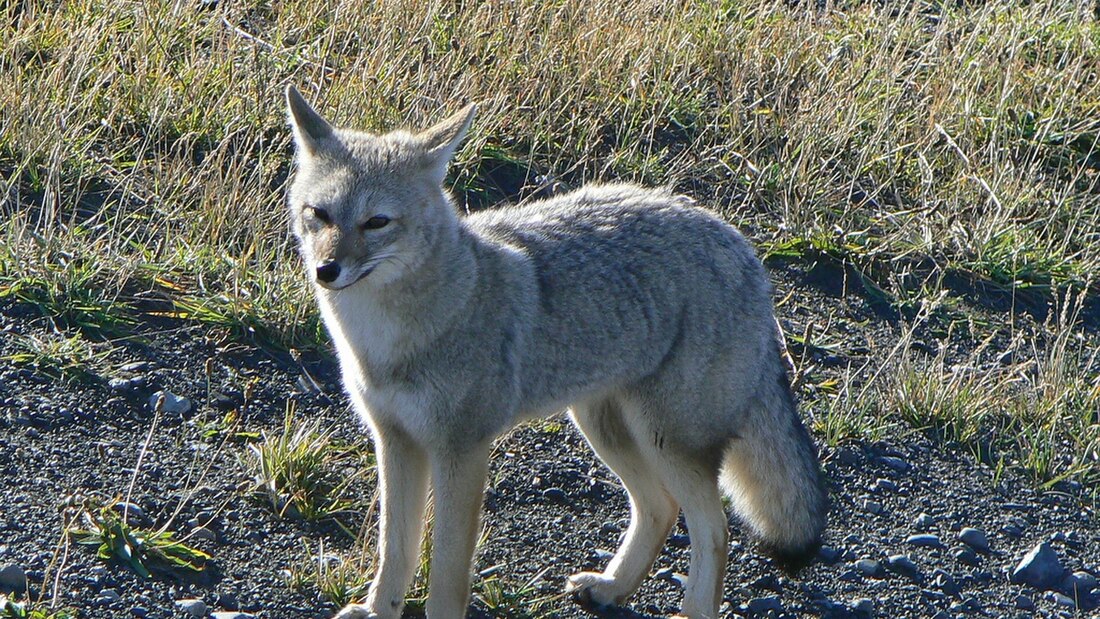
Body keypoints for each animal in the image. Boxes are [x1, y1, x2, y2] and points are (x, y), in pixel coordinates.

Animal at [283, 85, 827, 619]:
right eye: (320, 214)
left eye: (376, 222)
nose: (326, 270)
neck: (386, 340)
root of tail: (739, 242)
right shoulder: (395, 439)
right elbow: (395, 547)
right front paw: (379, 610)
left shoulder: (462, 450)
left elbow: (446, 573)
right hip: (605, 428)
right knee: (661, 508)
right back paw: (612, 587)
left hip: (665, 439)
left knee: (714, 529)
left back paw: (689, 609)